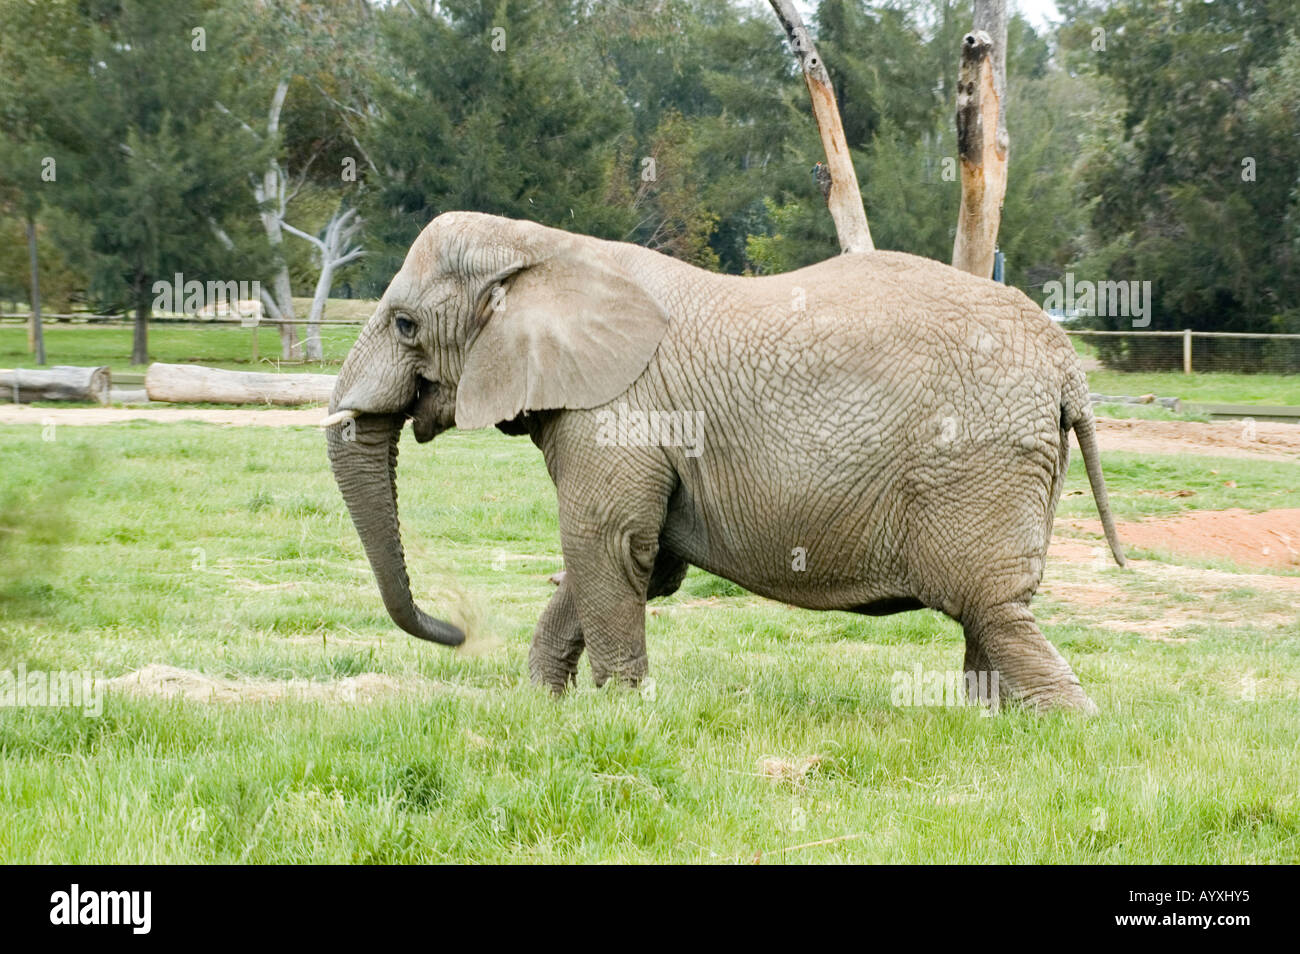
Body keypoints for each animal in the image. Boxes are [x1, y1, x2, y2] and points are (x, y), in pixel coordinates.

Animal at [319, 213, 1123, 712]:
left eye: (404, 324)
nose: (458, 630)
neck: (543, 247)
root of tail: (1066, 364)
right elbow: (637, 558)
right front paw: (545, 710)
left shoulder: (621, 409)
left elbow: (607, 544)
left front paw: (616, 717)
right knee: (993, 618)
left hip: (978, 460)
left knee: (992, 609)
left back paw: (1069, 729)